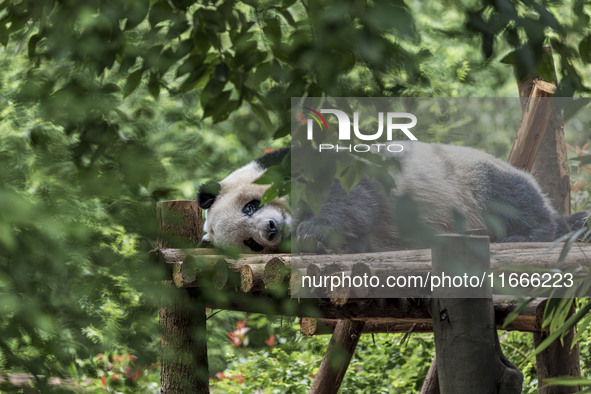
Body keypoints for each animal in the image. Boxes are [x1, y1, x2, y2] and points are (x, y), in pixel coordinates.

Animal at [195, 144, 588, 252]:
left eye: (250, 206)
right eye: (251, 244)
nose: (271, 230)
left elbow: (349, 197)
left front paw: (315, 230)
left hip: (469, 176)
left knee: (511, 197)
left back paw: (538, 231)